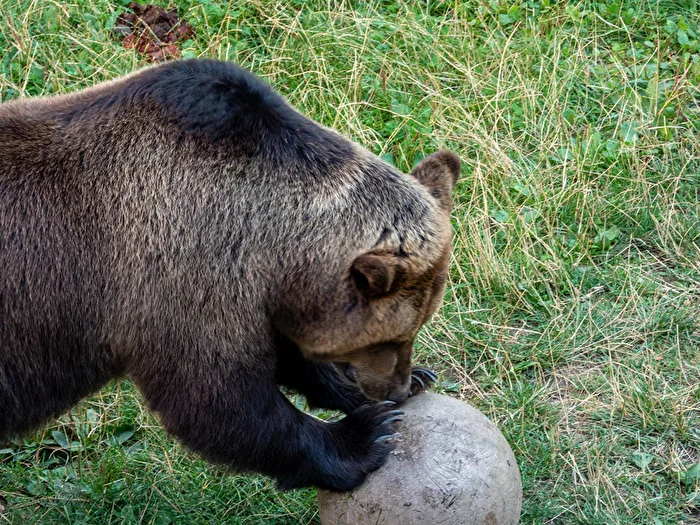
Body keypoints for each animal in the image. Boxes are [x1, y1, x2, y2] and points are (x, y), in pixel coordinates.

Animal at [0, 59, 460, 491]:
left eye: (417, 327)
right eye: (394, 336)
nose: (397, 388)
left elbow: (288, 357)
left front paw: (390, 386)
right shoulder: (182, 275)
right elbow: (219, 400)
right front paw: (363, 437)